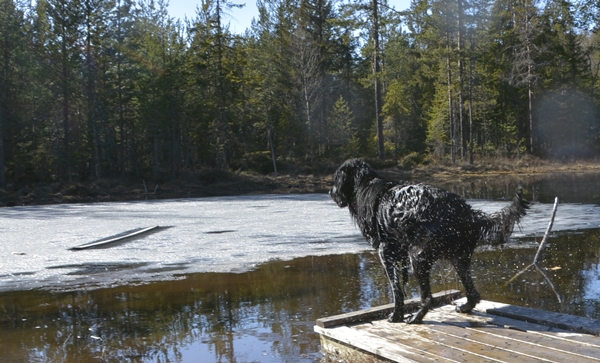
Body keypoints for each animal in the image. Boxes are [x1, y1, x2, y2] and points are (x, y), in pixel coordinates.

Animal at [328, 159, 528, 324]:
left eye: (336, 179)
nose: (330, 192)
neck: (364, 185)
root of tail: (466, 213)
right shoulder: (399, 252)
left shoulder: (386, 252)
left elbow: (396, 289)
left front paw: (396, 315)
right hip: (457, 257)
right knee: (472, 293)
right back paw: (464, 307)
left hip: (418, 256)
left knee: (428, 298)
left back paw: (416, 318)